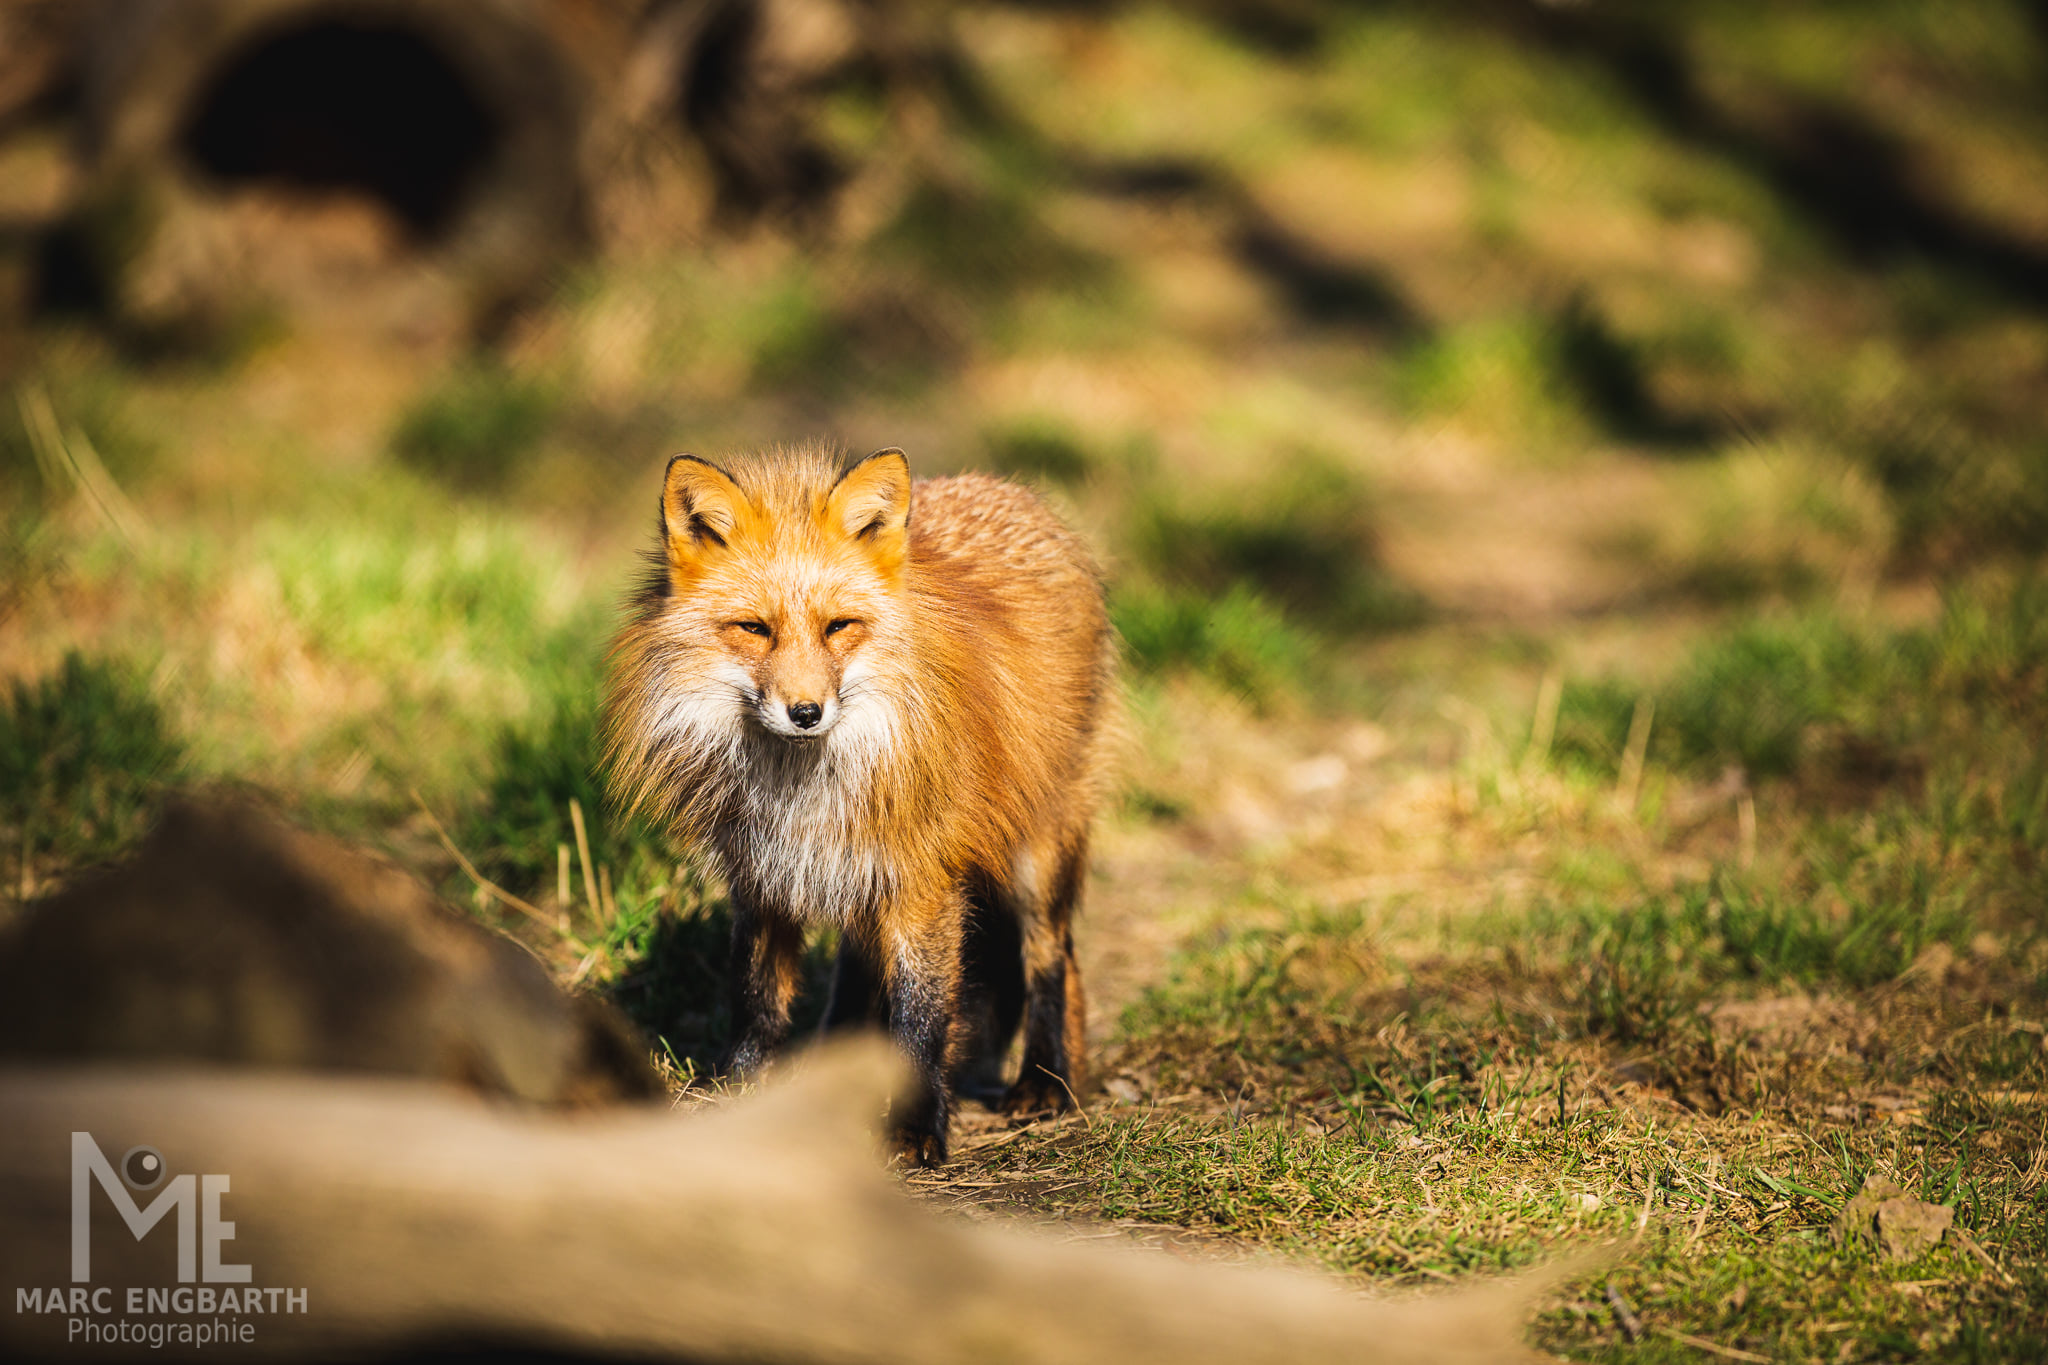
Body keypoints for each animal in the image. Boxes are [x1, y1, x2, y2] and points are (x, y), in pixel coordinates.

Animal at [603, 443, 1116, 1165]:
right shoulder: (761, 872)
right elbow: (755, 998)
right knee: (860, 972)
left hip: (1037, 851)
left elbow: (922, 1020)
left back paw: (1046, 1080)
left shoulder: (924, 878)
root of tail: (1010, 490)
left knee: (1053, 958)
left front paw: (916, 1128)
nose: (805, 713)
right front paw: (736, 1095)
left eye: (838, 627)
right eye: (754, 629)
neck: (802, 788)